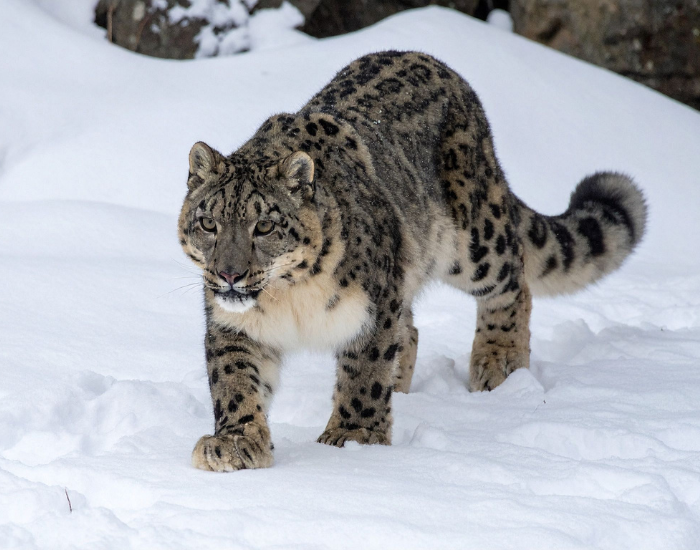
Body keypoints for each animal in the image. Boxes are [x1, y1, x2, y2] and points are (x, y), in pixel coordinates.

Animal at [178, 50, 647, 471]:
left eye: (264, 226)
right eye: (209, 222)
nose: (229, 274)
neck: (289, 298)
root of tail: (443, 68)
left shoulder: (374, 306)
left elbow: (364, 373)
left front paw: (353, 438)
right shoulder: (233, 324)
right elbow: (235, 380)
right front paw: (234, 444)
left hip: (474, 241)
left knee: (513, 283)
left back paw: (498, 364)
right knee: (413, 330)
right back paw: (403, 388)